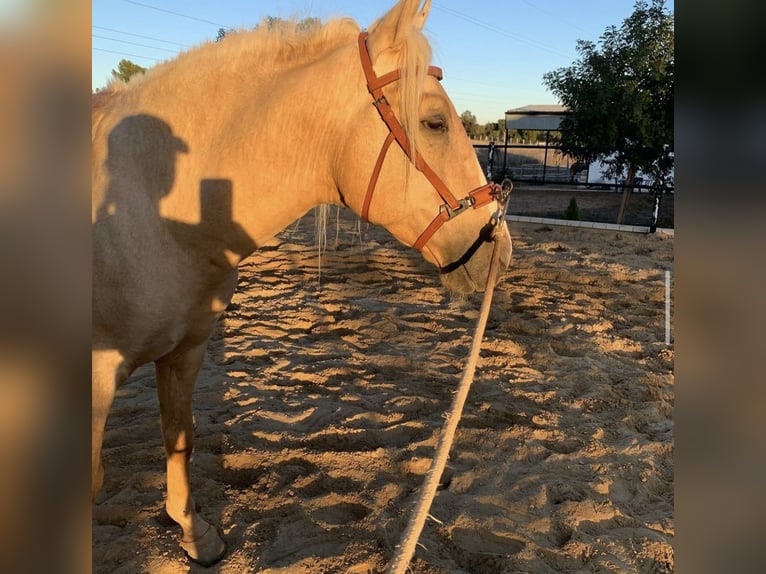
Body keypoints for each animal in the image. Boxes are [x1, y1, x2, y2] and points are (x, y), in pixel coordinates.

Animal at [96, 0, 512, 568]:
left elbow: (179, 437)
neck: (150, 202)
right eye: (434, 122)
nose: (500, 247)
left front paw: (195, 534)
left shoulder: (185, 352)